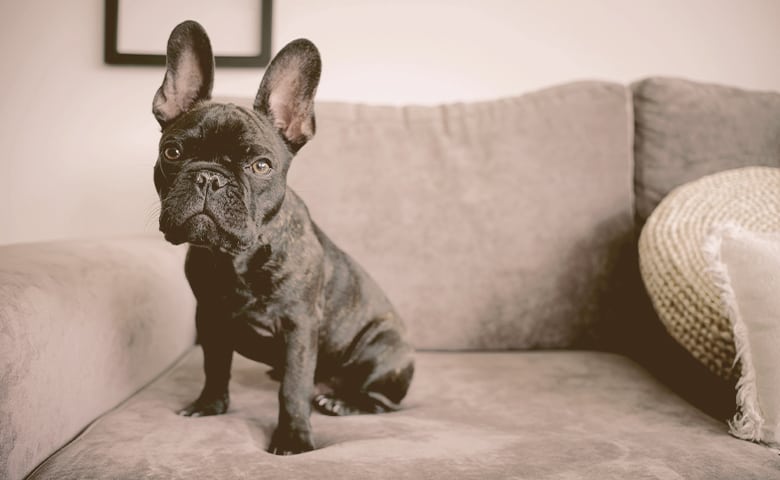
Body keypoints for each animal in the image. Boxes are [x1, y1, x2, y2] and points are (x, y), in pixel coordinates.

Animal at [151, 20, 414, 454]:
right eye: (172, 152)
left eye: (261, 166)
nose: (209, 177)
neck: (236, 257)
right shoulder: (210, 319)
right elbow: (214, 366)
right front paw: (209, 406)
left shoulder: (299, 328)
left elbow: (293, 387)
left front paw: (293, 438)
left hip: (383, 351)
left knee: (380, 400)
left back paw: (342, 402)